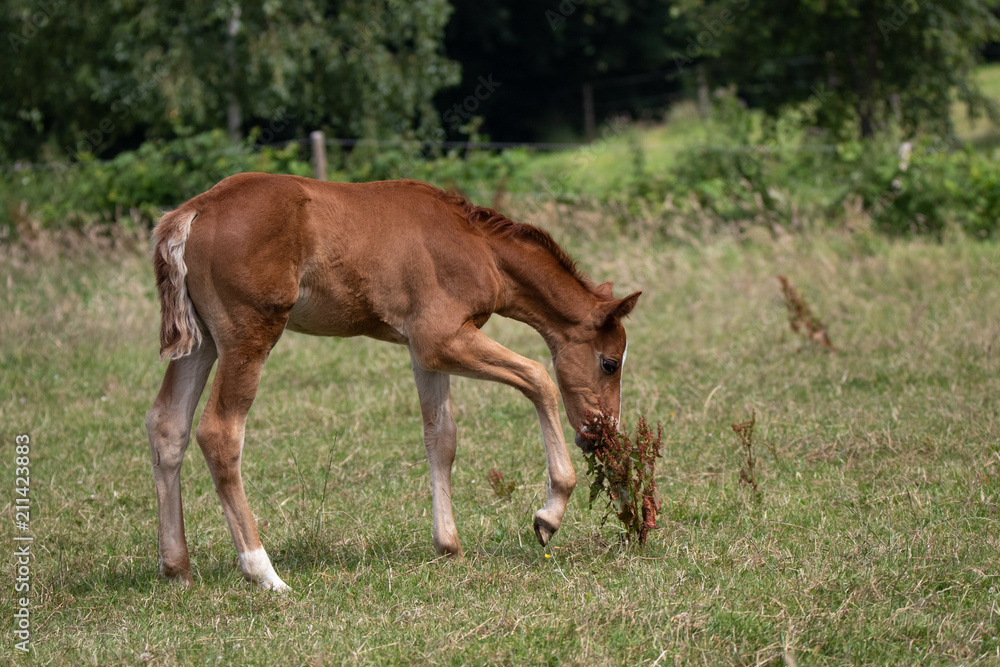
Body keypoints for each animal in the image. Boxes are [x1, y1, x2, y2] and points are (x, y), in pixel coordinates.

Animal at [146, 174, 640, 588]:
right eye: (609, 363)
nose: (601, 435)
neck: (481, 249)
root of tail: (195, 211)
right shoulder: (441, 339)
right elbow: (539, 378)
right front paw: (549, 514)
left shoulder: (426, 352)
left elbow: (441, 437)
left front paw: (449, 546)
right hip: (248, 334)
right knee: (220, 432)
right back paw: (263, 572)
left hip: (204, 342)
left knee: (167, 425)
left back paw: (177, 568)